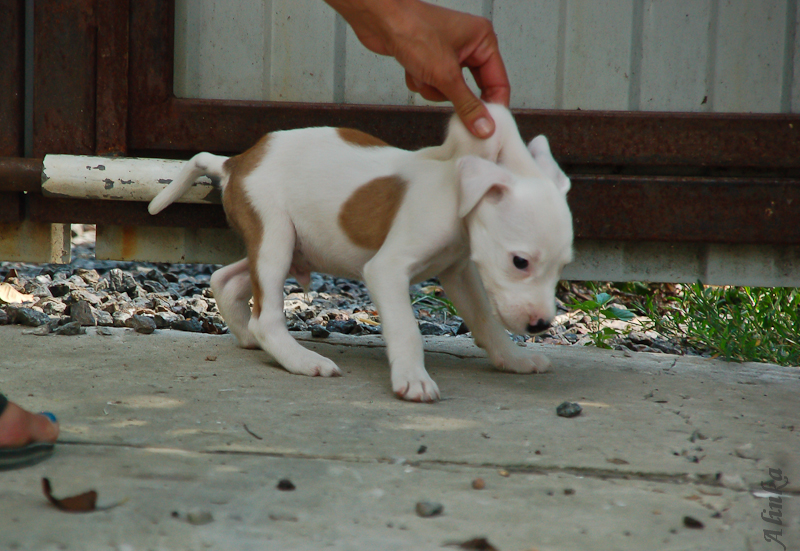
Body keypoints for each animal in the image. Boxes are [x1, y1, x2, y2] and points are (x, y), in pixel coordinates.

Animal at [150, 104, 572, 402]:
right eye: (520, 262)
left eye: (562, 266)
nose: (540, 325)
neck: (455, 196)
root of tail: (235, 161)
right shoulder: (387, 269)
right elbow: (406, 329)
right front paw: (413, 379)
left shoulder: (459, 272)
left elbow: (486, 321)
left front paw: (514, 359)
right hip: (274, 237)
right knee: (265, 316)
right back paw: (303, 361)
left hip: (285, 245)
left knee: (226, 279)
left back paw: (250, 338)